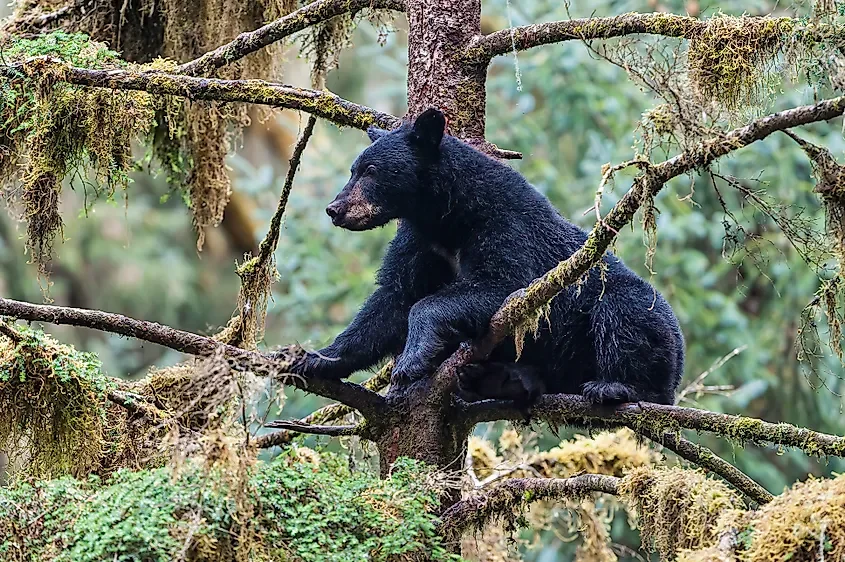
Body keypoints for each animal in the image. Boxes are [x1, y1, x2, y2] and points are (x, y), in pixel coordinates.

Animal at [288, 107, 685, 406]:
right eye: (353, 169)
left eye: (371, 171)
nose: (335, 208)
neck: (449, 217)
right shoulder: (420, 240)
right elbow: (393, 299)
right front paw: (315, 358)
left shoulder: (506, 225)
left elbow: (503, 285)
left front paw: (412, 361)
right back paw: (498, 380)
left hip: (641, 323)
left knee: (623, 315)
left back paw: (616, 386)